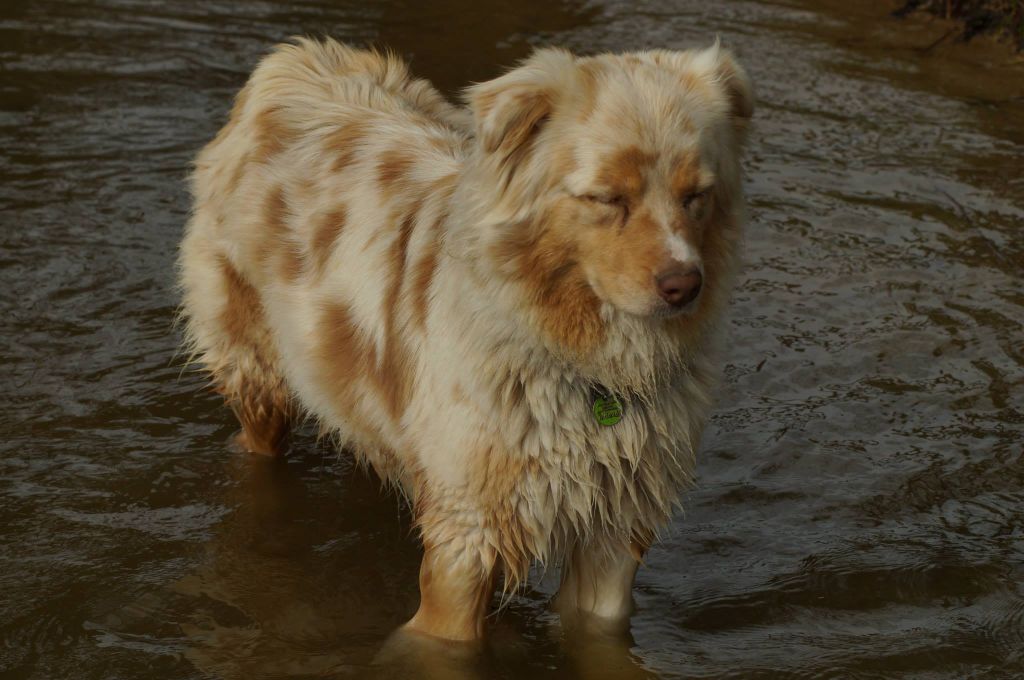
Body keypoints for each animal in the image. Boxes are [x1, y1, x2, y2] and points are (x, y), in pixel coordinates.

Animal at [178, 37, 753, 643]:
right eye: (606, 198)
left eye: (697, 196)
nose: (684, 285)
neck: (586, 366)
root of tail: (291, 58)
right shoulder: (466, 534)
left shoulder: (615, 536)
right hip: (254, 369)